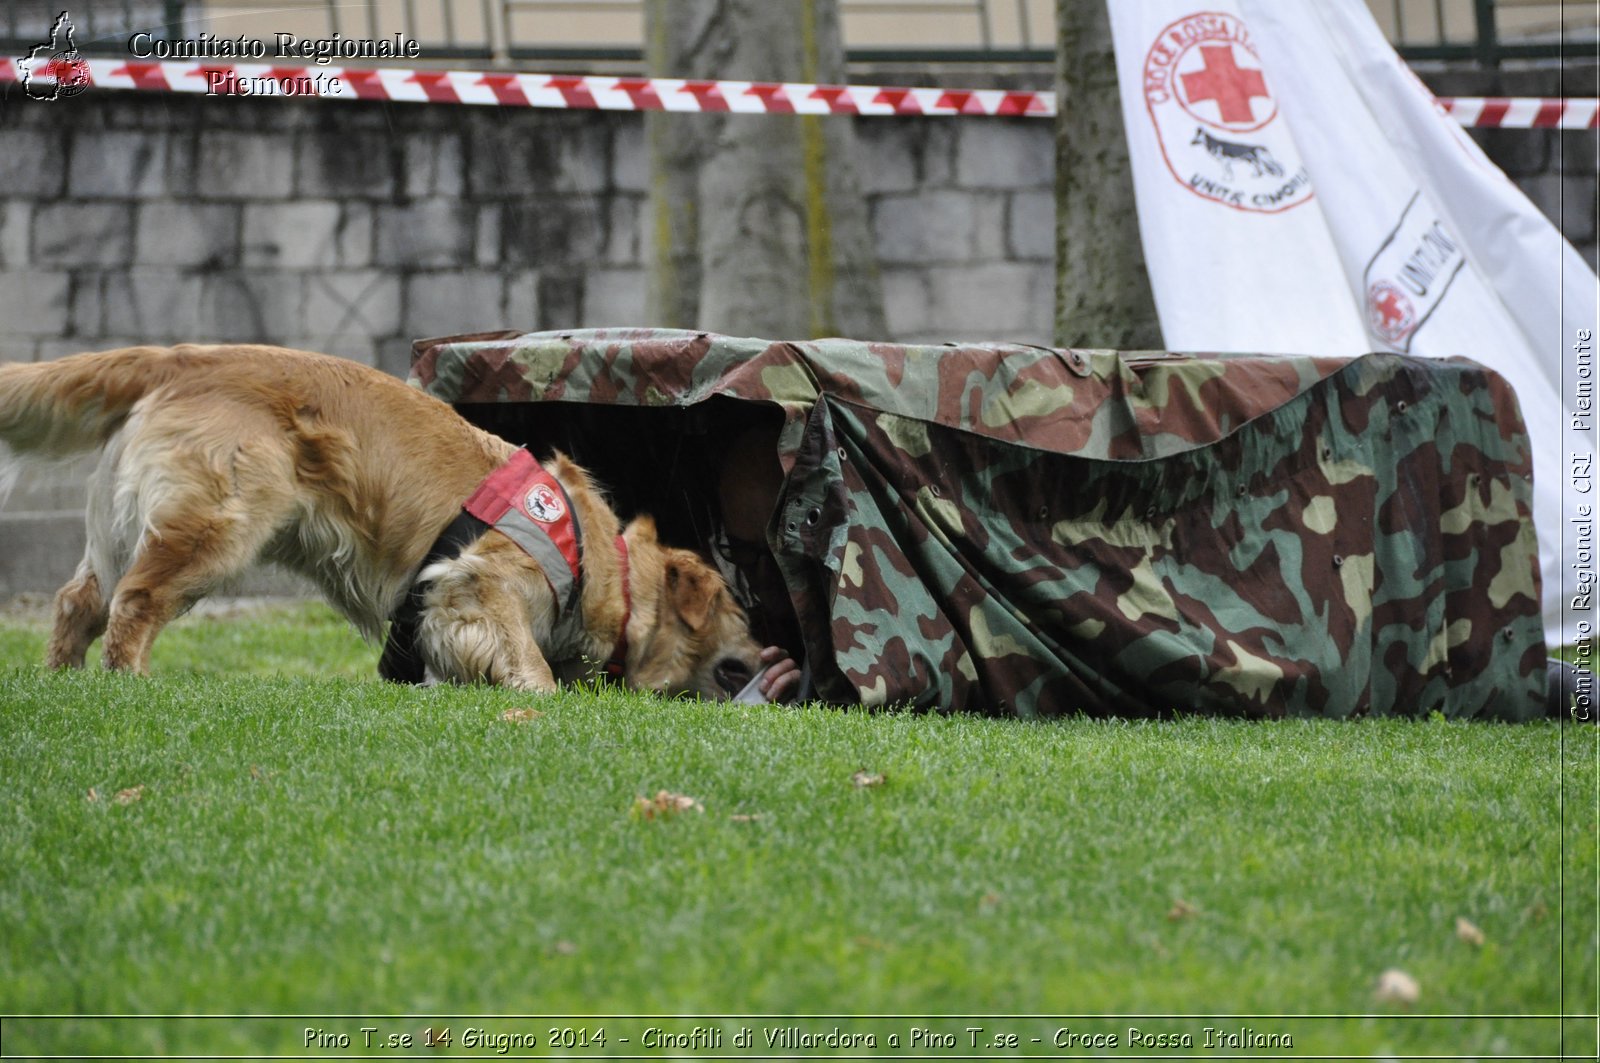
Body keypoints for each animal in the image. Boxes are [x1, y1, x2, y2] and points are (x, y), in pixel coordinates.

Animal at [0, 342, 774, 697]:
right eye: (741, 608)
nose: (774, 654)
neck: (597, 558)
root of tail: (188, 356)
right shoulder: (474, 580)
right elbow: (529, 660)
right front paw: (539, 693)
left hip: (122, 527)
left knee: (78, 600)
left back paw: (62, 679)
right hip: (216, 526)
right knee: (134, 601)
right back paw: (128, 680)